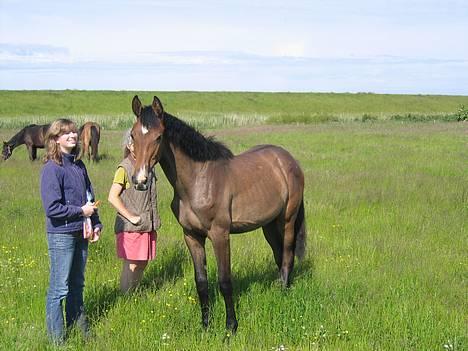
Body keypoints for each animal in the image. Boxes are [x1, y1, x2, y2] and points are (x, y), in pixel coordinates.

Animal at [130, 96, 308, 332]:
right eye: (133, 135)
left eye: (158, 137)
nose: (139, 181)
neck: (199, 180)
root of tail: (289, 160)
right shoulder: (192, 236)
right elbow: (201, 282)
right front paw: (205, 325)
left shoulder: (220, 235)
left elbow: (225, 281)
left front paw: (231, 327)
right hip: (268, 225)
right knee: (279, 255)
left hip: (287, 220)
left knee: (287, 255)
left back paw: (284, 293)